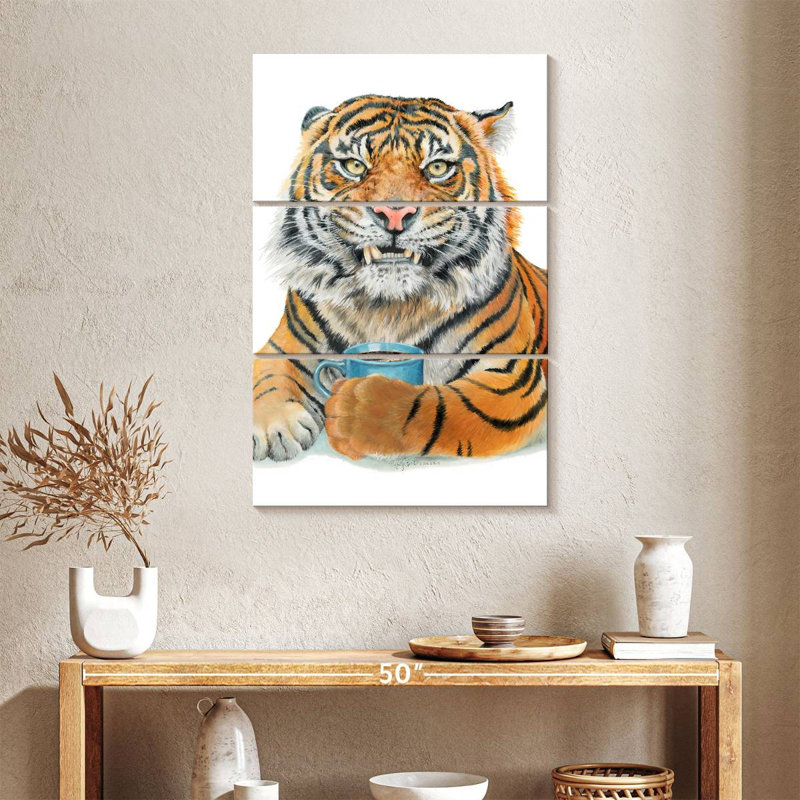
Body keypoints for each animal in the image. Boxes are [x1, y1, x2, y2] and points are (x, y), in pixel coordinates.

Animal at [253, 94, 547, 462]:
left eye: (437, 168)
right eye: (354, 166)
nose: (394, 213)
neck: (387, 308)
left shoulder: (512, 375)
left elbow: (435, 407)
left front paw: (358, 409)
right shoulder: (285, 344)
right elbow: (269, 376)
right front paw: (275, 427)